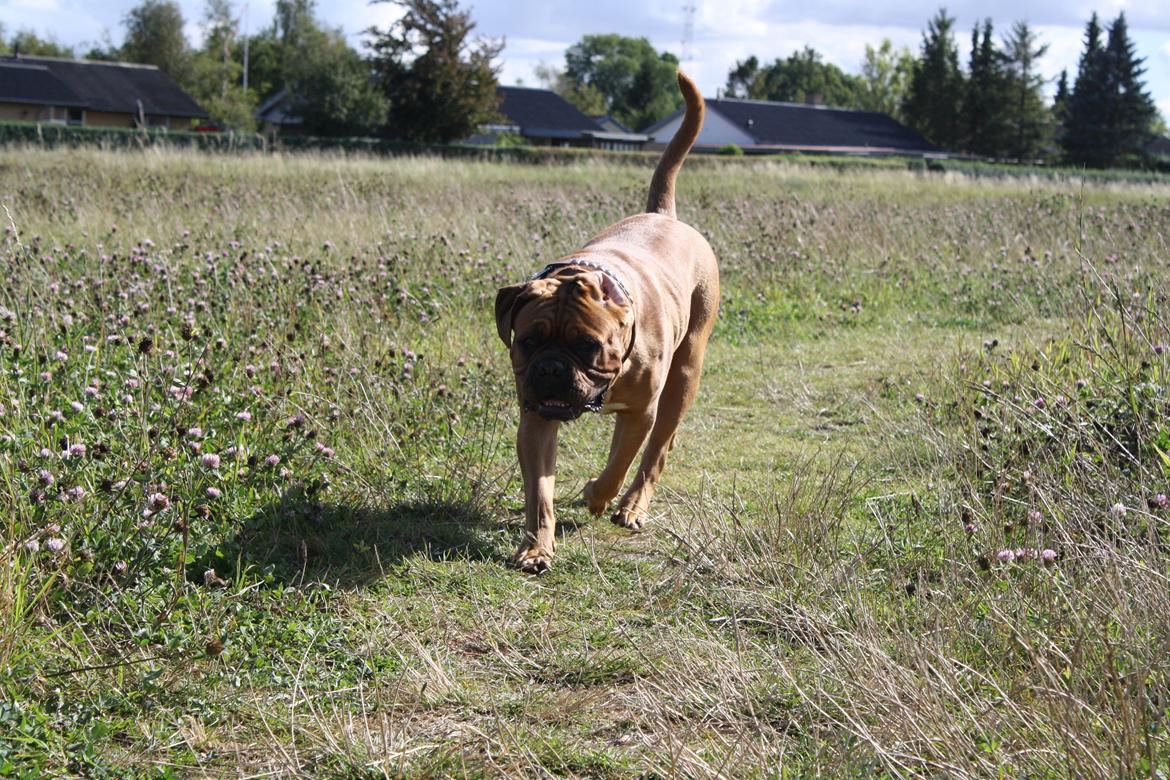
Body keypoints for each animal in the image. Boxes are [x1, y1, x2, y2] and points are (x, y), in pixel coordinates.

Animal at [491, 71, 711, 573]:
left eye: (587, 345)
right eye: (527, 342)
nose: (552, 369)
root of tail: (664, 215)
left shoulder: (642, 411)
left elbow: (619, 466)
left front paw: (596, 493)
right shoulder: (536, 420)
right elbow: (540, 492)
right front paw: (537, 546)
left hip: (683, 379)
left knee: (653, 454)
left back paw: (630, 507)